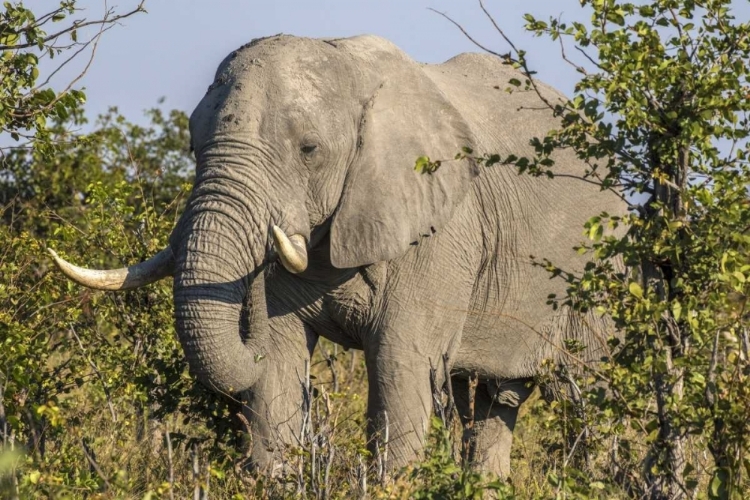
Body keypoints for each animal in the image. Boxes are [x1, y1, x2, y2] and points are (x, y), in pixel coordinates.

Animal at [50, 35, 624, 476]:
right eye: (193, 147)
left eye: (309, 150)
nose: (248, 290)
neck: (348, 64)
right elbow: (279, 365)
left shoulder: (442, 233)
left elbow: (399, 366)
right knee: (488, 400)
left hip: (602, 271)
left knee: (596, 392)